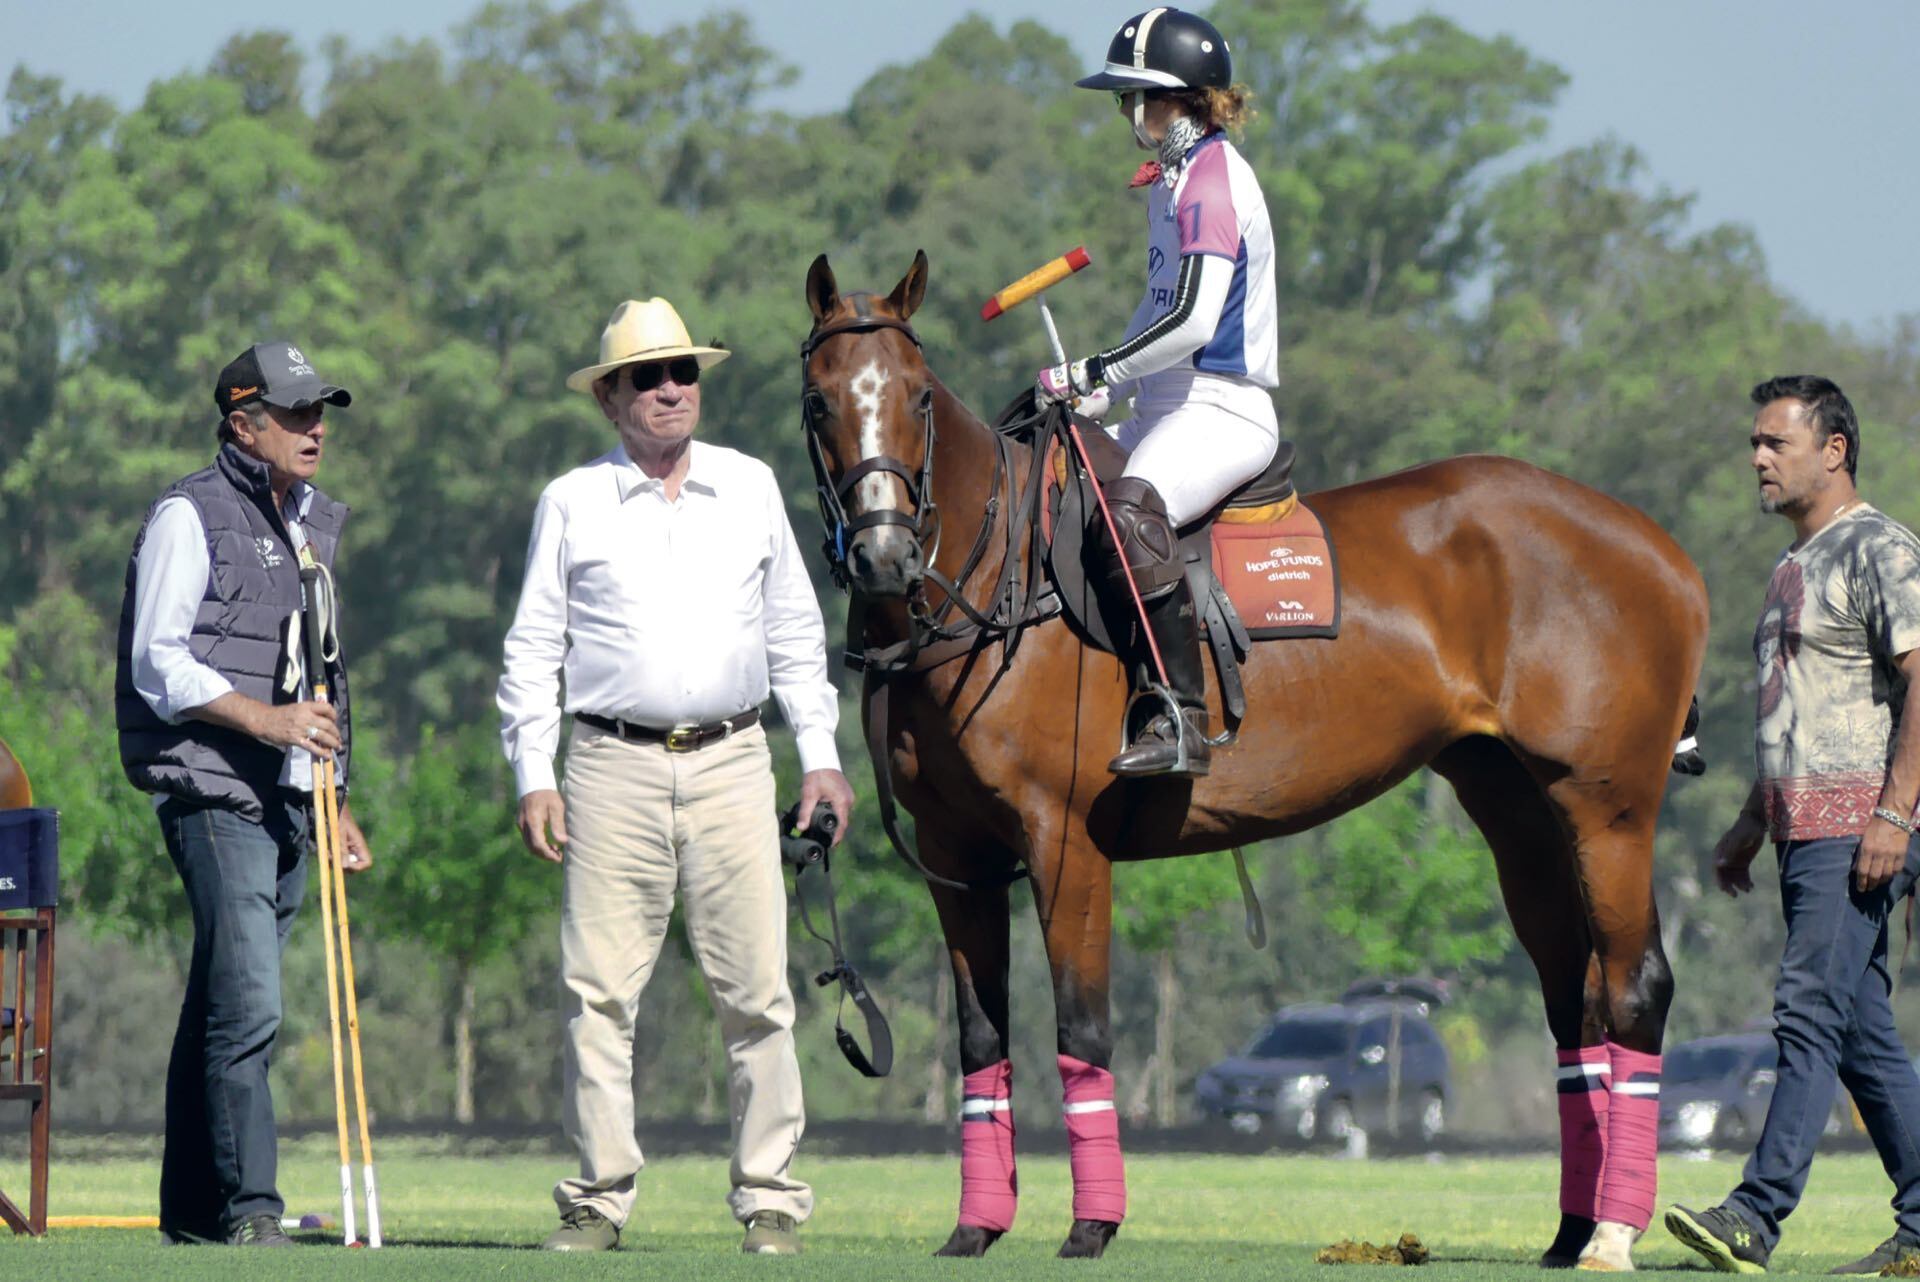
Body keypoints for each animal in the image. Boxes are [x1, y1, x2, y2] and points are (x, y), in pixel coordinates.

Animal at [802, 255, 1704, 1266]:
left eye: (918, 397)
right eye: (818, 400)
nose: (884, 559)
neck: (997, 578)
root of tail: (1666, 552)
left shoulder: (1063, 838)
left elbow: (1082, 1024)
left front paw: (1092, 1224)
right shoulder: (955, 856)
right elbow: (979, 1037)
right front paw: (975, 1228)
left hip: (1609, 805)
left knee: (1635, 986)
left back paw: (1615, 1233)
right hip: (1517, 808)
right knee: (1571, 996)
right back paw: (1570, 1231)